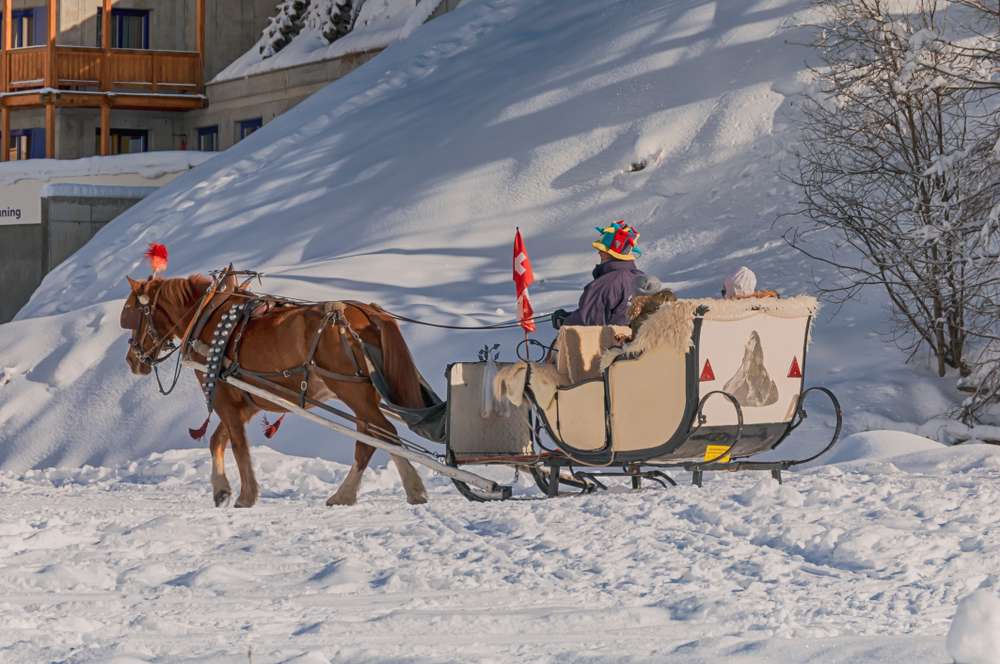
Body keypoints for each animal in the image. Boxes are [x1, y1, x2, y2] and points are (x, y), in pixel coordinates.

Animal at [120, 272, 429, 508]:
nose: (132, 360)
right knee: (372, 438)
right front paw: (221, 489)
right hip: (364, 396)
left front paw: (246, 496)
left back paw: (403, 489)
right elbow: (217, 440)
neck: (208, 316)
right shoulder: (247, 402)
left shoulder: (224, 399)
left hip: (351, 391)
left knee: (383, 433)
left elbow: (238, 446)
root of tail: (369, 312)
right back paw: (352, 493)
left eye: (133, 315)